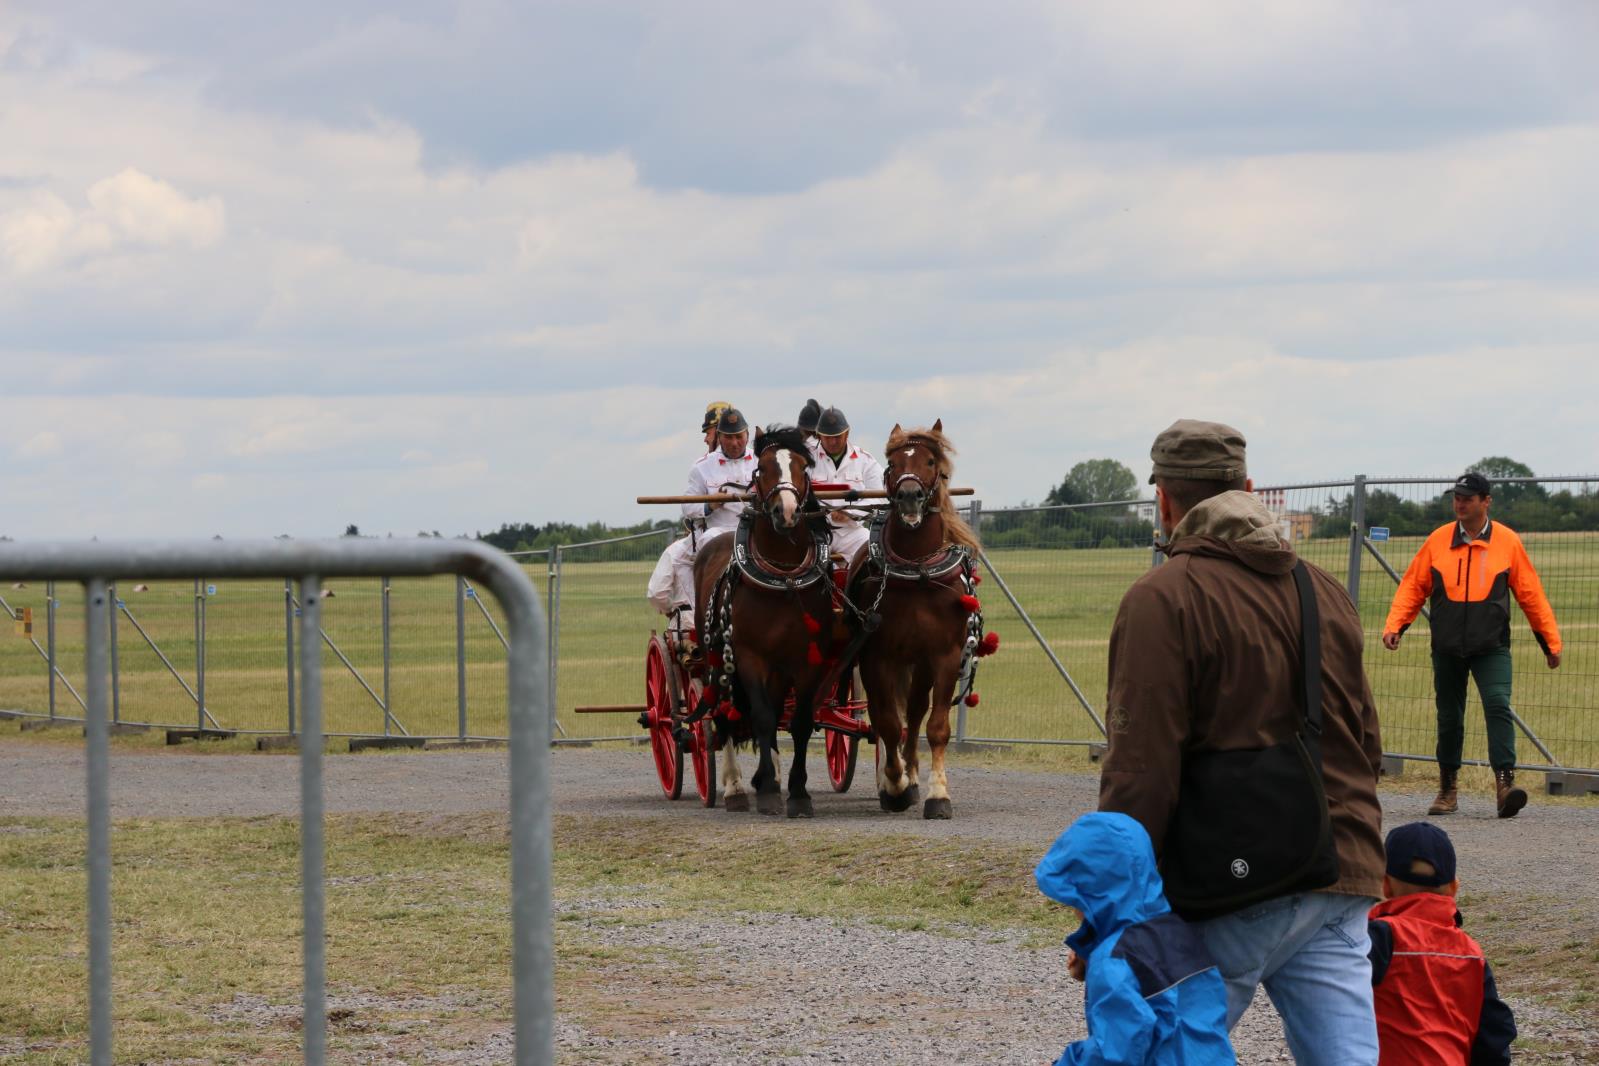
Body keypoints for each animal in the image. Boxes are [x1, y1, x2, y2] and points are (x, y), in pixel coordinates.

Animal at [693, 425, 837, 818]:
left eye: (803, 466)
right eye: (765, 467)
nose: (785, 512)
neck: (783, 576)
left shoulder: (807, 660)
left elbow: (798, 723)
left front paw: (798, 793)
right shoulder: (748, 656)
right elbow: (760, 717)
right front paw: (770, 790)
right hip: (716, 660)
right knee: (724, 714)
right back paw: (735, 787)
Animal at [857, 421, 991, 824]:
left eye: (931, 461)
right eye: (893, 462)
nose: (909, 497)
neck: (916, 571)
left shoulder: (943, 656)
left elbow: (936, 727)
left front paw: (936, 794)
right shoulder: (877, 657)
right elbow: (887, 723)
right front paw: (894, 785)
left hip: (921, 664)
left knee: (915, 713)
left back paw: (914, 774)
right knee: (890, 717)